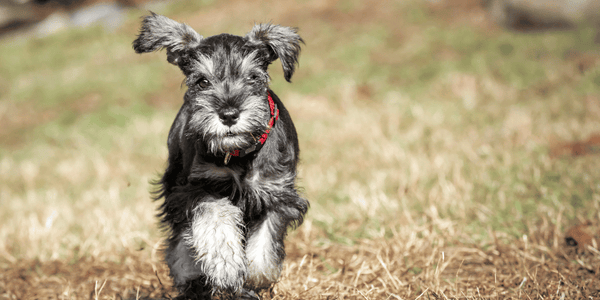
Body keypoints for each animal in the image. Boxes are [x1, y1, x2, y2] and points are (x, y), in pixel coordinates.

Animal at [132, 12, 310, 298]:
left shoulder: (276, 194)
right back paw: (189, 273)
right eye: (202, 81)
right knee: (179, 239)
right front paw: (225, 266)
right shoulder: (200, 187)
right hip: (174, 182)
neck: (239, 154)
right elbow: (215, 220)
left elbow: (264, 245)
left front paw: (254, 278)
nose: (228, 114)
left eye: (253, 77)